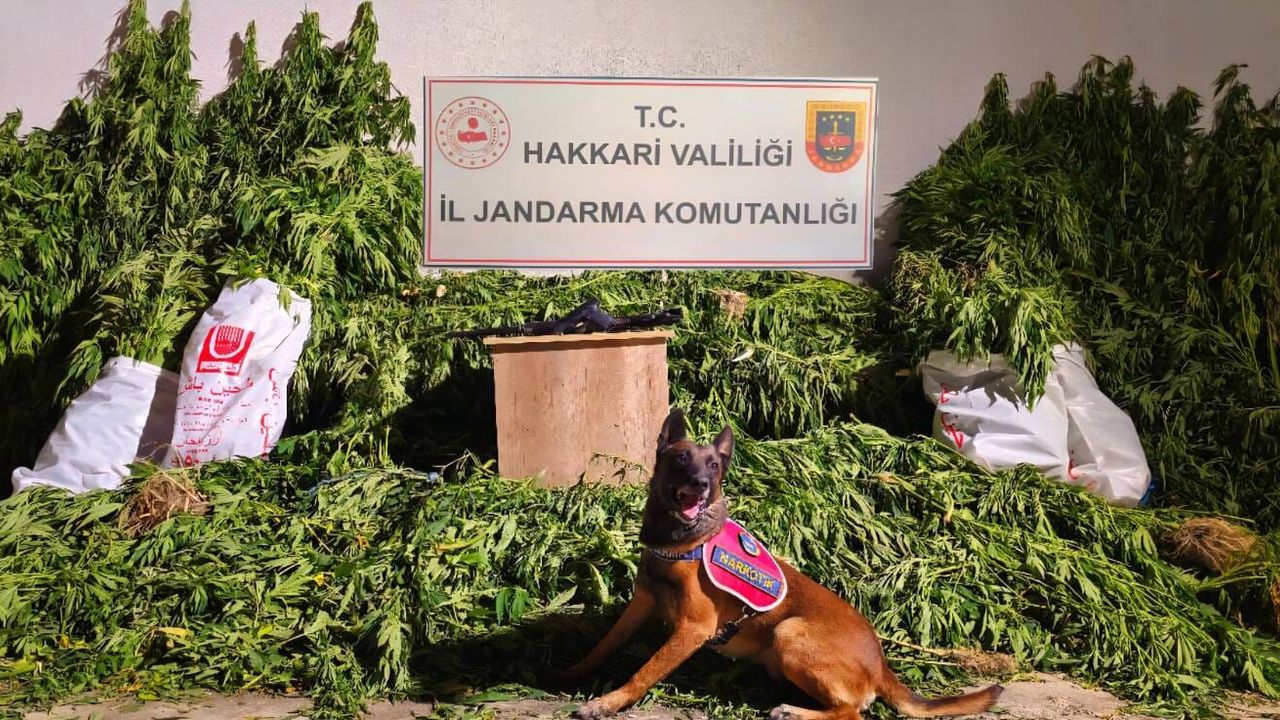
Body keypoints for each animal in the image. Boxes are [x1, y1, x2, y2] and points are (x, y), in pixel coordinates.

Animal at [558, 409, 1003, 720]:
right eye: (682, 458)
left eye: (713, 465)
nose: (701, 484)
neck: (683, 540)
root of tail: (881, 663)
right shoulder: (642, 604)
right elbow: (606, 644)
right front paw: (576, 671)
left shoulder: (693, 629)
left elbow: (644, 672)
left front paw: (607, 703)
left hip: (789, 632)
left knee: (853, 712)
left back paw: (794, 710)